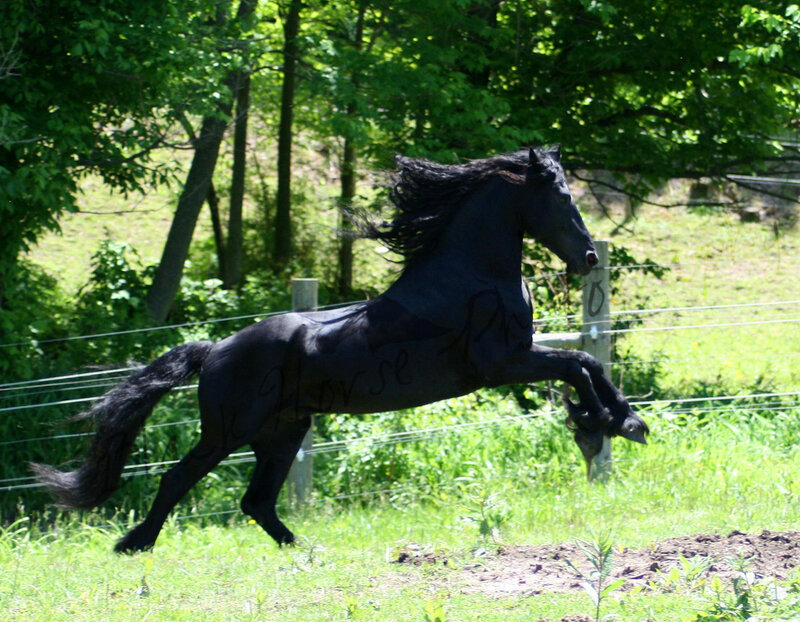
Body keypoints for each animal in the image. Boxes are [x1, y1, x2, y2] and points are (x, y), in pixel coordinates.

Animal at [33, 146, 649, 553]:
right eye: (561, 196)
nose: (589, 257)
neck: (471, 275)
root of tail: (215, 350)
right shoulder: (500, 362)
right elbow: (579, 364)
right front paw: (600, 427)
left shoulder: (518, 355)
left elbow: (587, 364)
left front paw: (621, 423)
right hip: (229, 431)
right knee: (178, 480)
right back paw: (134, 544)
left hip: (283, 432)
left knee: (256, 502)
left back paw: (306, 551)